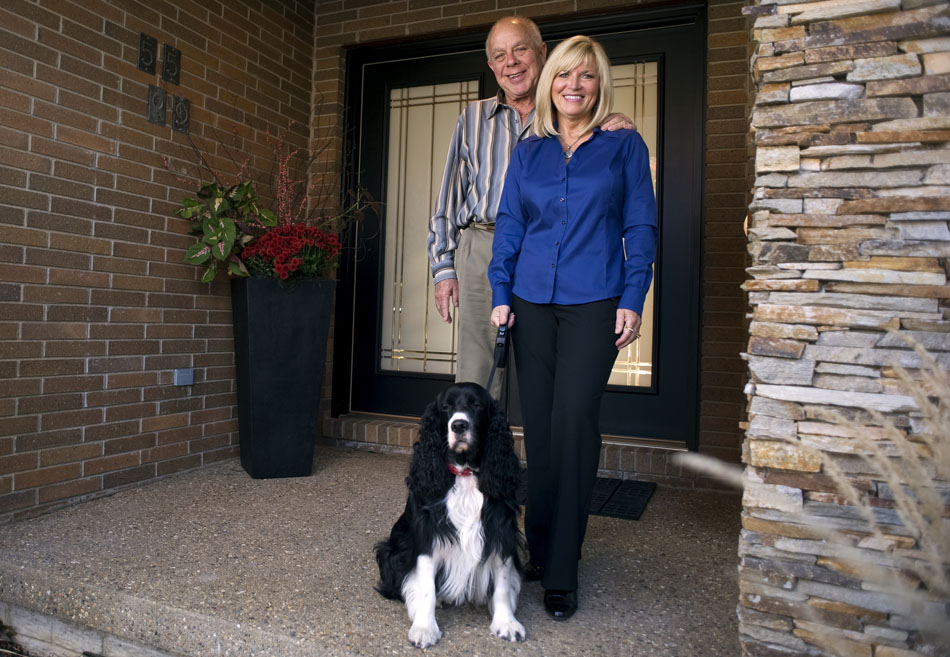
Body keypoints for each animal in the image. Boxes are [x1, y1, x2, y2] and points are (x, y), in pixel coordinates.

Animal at [374, 382, 528, 648]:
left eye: (476, 405)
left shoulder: (500, 530)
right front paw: (424, 628)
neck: (465, 472)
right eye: (446, 407)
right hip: (391, 551)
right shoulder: (428, 536)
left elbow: (502, 585)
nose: (459, 425)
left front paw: (506, 623)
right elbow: (426, 588)